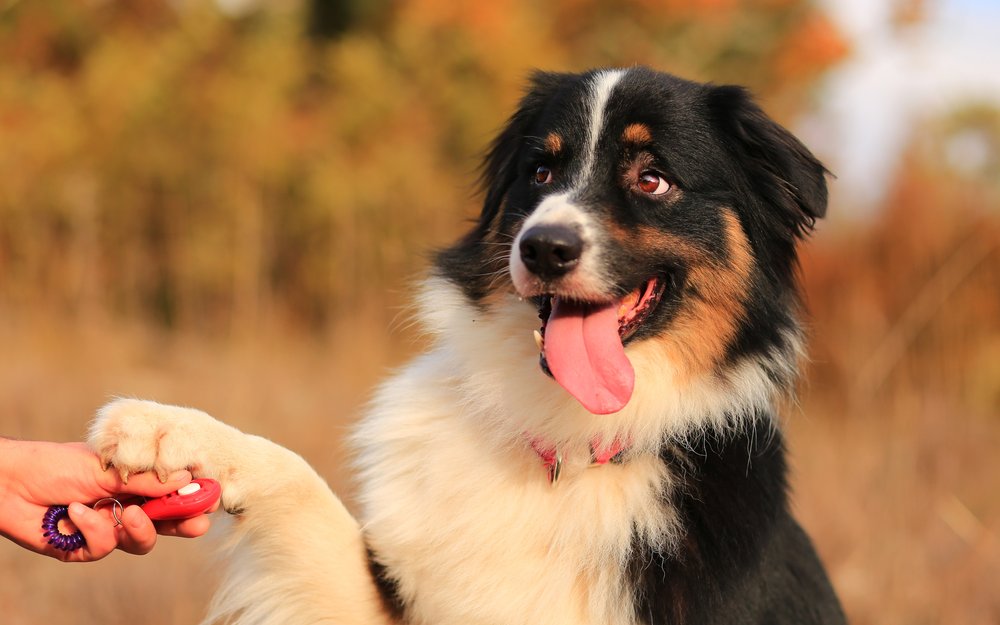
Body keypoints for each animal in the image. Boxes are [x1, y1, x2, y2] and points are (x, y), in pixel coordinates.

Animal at [90, 66, 848, 620]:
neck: (571, 449)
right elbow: (298, 478)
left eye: (652, 177)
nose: (542, 247)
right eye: (540, 173)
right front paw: (167, 428)